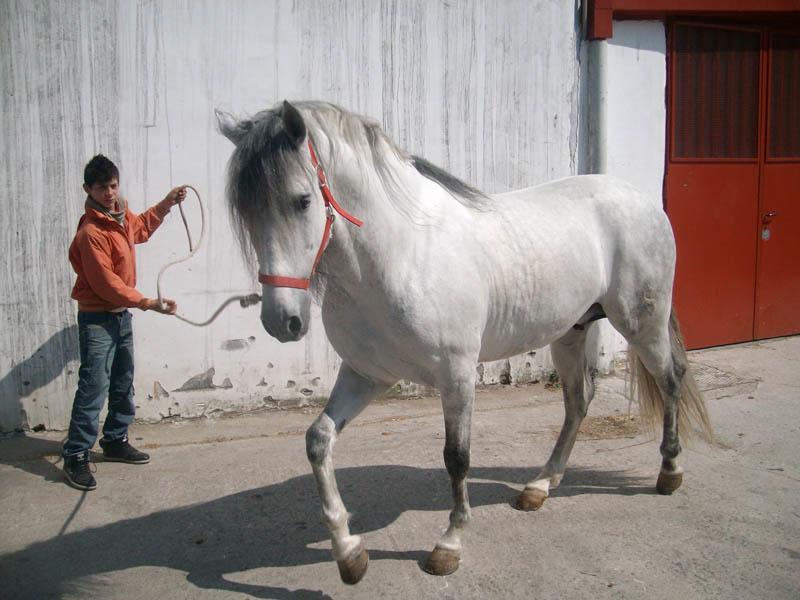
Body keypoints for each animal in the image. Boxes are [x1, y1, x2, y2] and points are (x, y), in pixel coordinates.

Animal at [214, 101, 712, 584]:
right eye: (245, 211)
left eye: (302, 201)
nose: (282, 321)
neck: (402, 255)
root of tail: (642, 200)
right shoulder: (365, 375)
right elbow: (318, 440)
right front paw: (349, 552)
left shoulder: (456, 374)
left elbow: (456, 457)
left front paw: (448, 546)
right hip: (570, 333)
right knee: (578, 401)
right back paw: (541, 486)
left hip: (641, 323)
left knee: (670, 380)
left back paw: (669, 473)